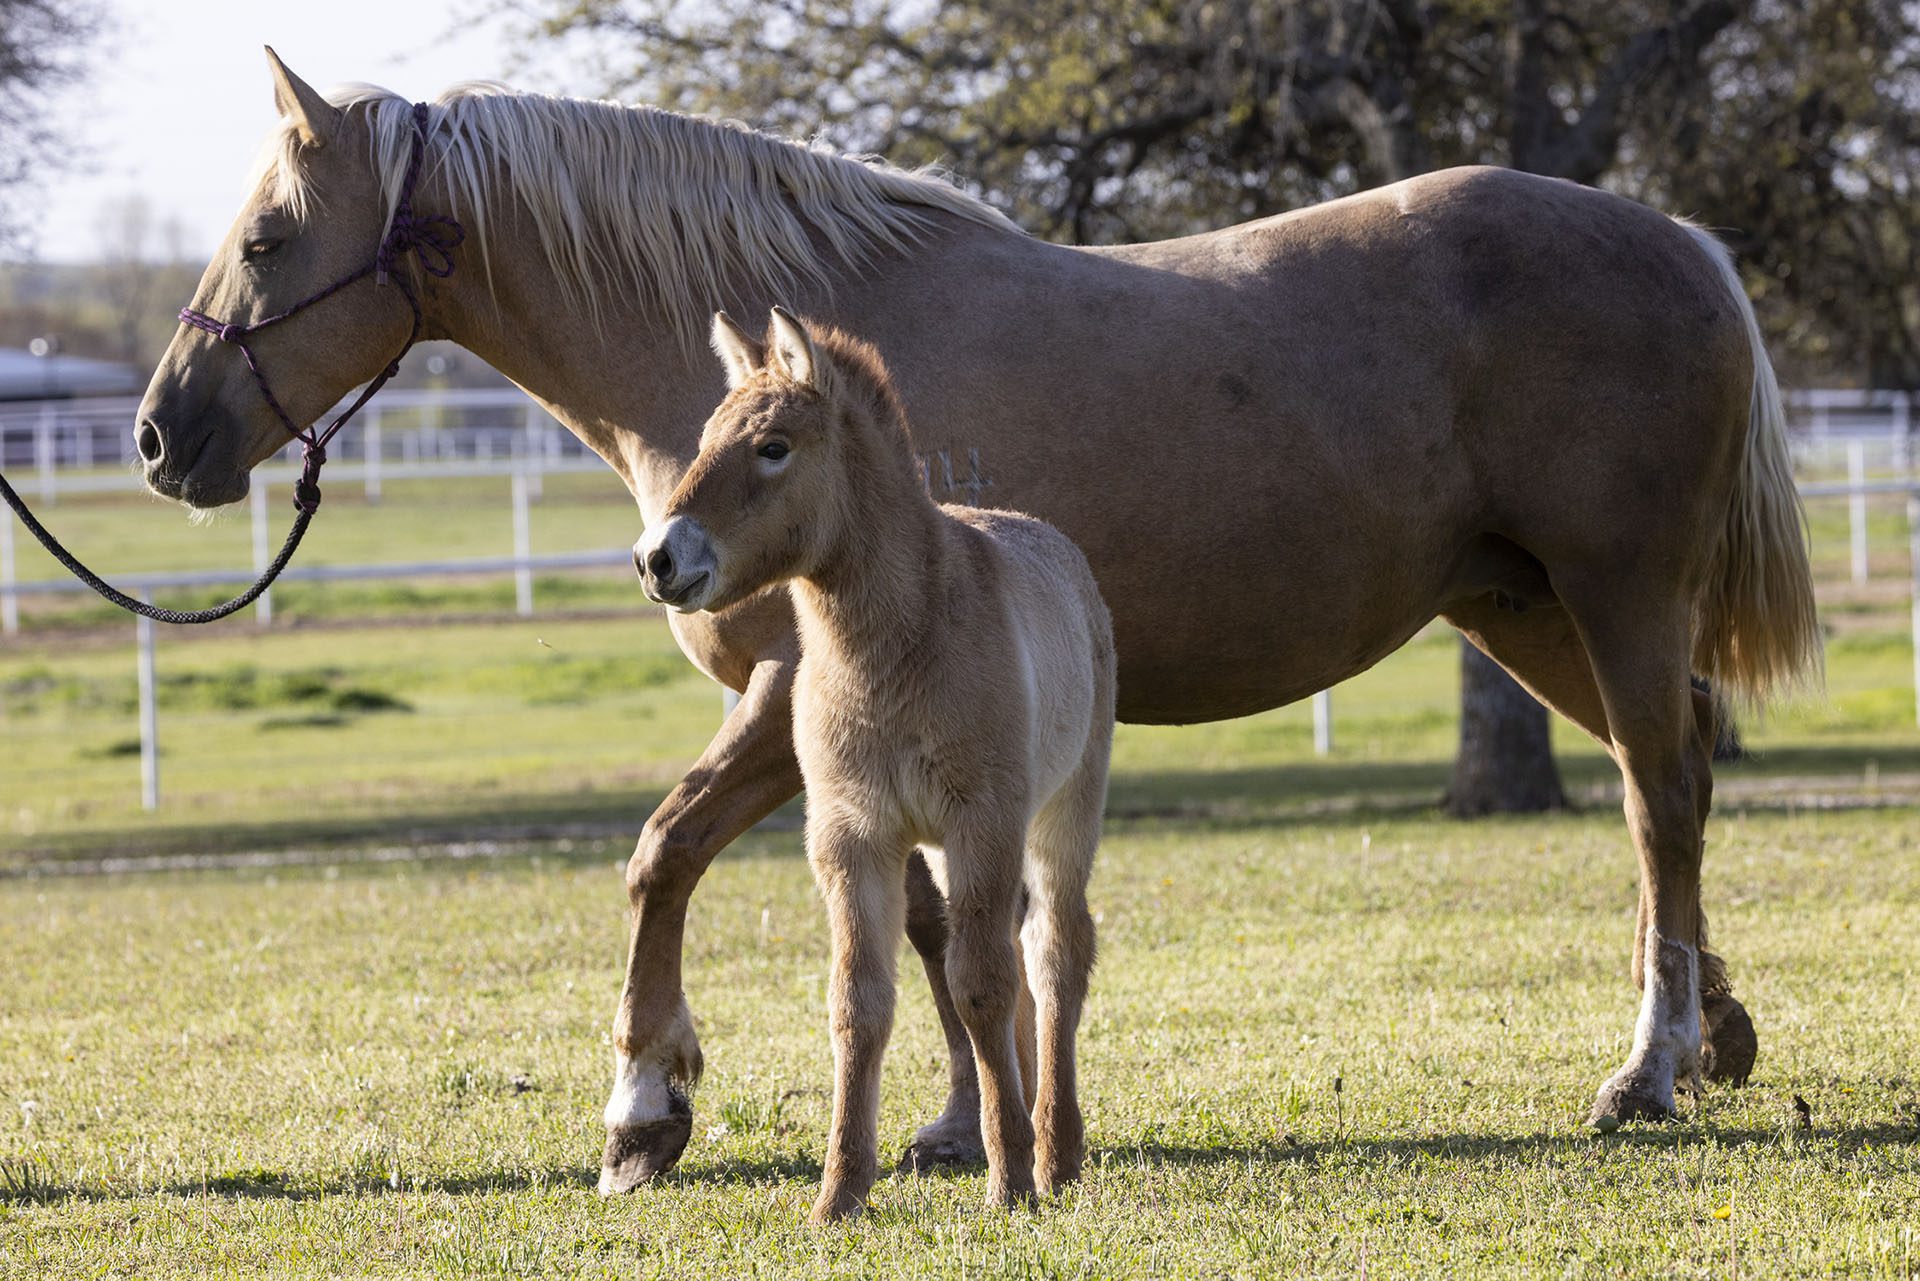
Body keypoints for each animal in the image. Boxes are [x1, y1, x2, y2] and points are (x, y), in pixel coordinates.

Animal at [645, 311, 1121, 1221]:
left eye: (773, 446)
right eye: (706, 439)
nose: (656, 559)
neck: (896, 647)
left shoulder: (981, 821)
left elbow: (980, 984)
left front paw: (1010, 1180)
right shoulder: (852, 834)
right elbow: (858, 1004)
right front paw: (840, 1192)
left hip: (1062, 811)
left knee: (1054, 951)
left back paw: (1056, 1148)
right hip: (940, 843)